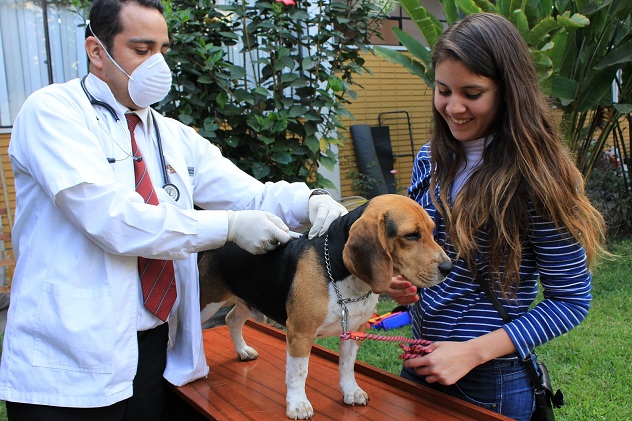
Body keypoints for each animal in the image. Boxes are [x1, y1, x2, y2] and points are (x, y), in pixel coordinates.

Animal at [198, 194, 453, 419]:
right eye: (411, 235)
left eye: (432, 231)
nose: (448, 268)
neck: (343, 275)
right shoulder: (300, 333)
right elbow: (299, 372)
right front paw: (298, 404)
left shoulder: (355, 331)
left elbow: (347, 366)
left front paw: (350, 391)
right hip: (206, 304)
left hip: (247, 300)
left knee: (231, 319)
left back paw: (242, 350)